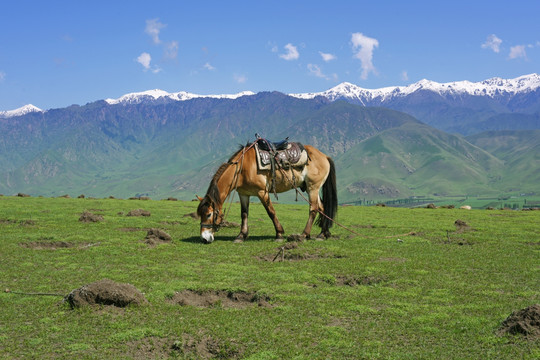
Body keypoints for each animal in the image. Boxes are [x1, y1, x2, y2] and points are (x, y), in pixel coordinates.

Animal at [194, 139, 338, 243]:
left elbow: (271, 212)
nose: (204, 238)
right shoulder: (244, 194)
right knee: (322, 207)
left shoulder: (262, 192)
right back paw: (322, 234)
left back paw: (304, 235)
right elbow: (244, 214)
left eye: (208, 214)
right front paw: (241, 236)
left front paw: (279, 234)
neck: (242, 168)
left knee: (313, 209)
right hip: (311, 188)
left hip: (313, 187)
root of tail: (325, 156)